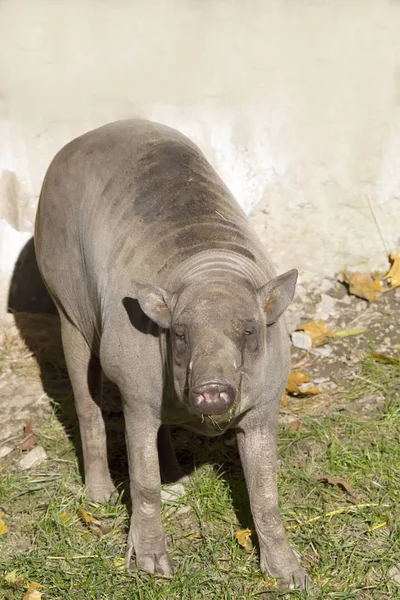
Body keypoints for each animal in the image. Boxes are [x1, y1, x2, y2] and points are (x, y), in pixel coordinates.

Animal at [34, 119, 308, 588]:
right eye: (180, 333)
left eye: (248, 331)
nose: (212, 387)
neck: (211, 271)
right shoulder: (136, 391)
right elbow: (142, 483)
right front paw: (153, 570)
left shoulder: (266, 403)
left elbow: (266, 493)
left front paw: (292, 579)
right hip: (65, 302)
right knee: (86, 404)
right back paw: (101, 498)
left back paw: (177, 485)